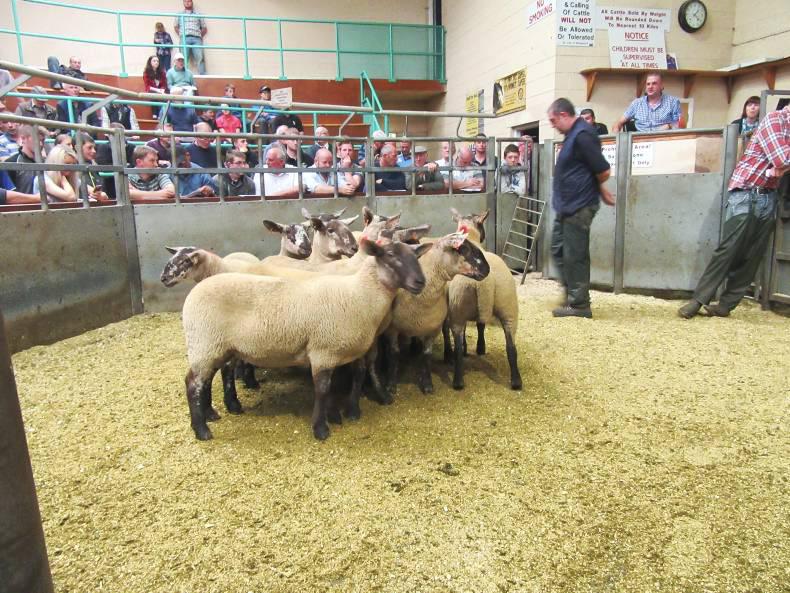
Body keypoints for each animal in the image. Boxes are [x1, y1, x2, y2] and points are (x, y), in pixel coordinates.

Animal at [181, 237, 429, 441]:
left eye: (416, 257)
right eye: (390, 256)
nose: (421, 282)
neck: (359, 294)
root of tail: (195, 291)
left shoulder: (339, 351)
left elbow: (343, 382)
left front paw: (339, 414)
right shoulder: (323, 351)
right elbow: (322, 389)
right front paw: (321, 428)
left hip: (216, 346)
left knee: (207, 379)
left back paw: (213, 413)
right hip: (204, 343)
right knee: (193, 383)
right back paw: (201, 429)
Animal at [382, 231, 490, 396]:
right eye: (463, 249)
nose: (487, 269)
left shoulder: (433, 329)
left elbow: (427, 355)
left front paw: (427, 385)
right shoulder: (392, 329)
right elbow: (394, 354)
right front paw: (391, 385)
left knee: (446, 331)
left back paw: (447, 354)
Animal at [446, 208, 522, 391]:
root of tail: (485, 282)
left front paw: (475, 348)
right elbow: (481, 325)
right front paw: (480, 347)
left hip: (457, 308)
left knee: (458, 346)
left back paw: (458, 381)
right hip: (509, 307)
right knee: (511, 347)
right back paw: (516, 382)